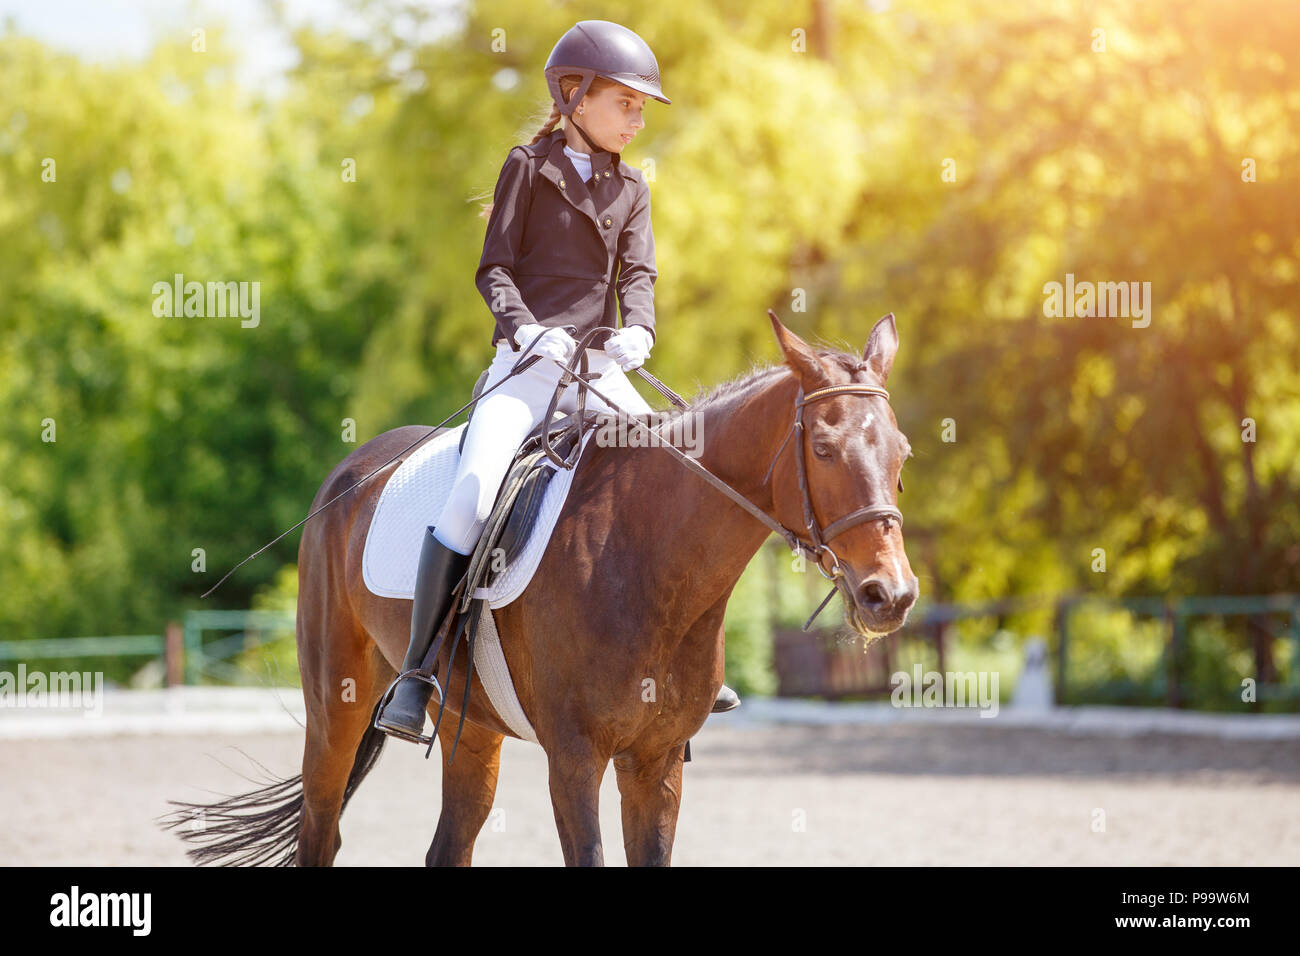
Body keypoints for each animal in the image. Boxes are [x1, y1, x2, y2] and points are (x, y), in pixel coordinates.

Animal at [161, 311, 918, 866]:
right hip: (335, 707)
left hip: (470, 726)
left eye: (902, 452)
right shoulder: (575, 759)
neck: (647, 560)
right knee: (321, 829)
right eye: (823, 448)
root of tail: (350, 471)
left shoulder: (657, 762)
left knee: (447, 847)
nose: (891, 595)